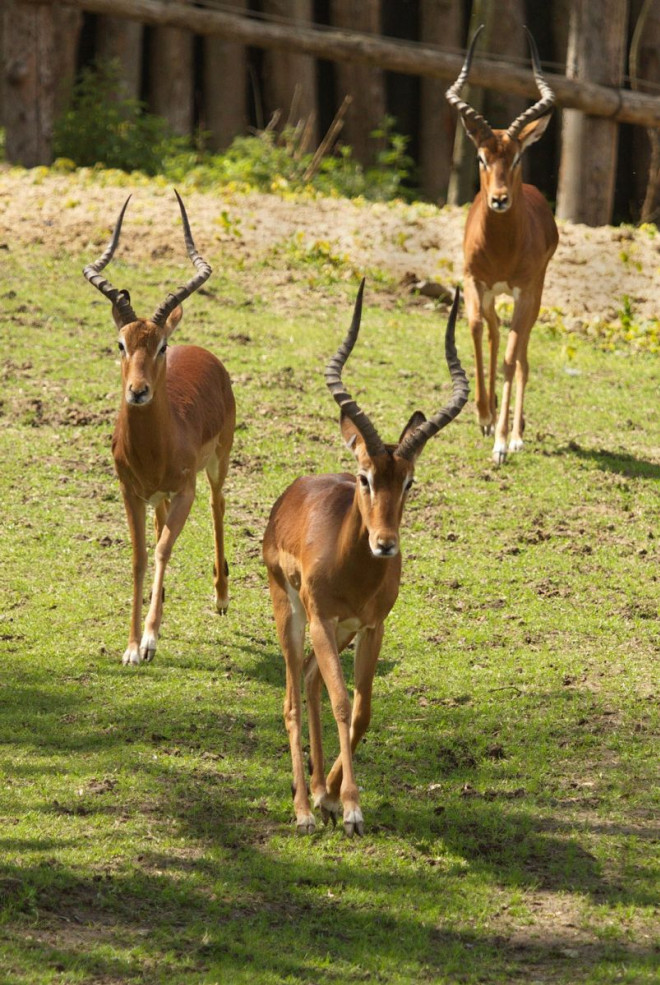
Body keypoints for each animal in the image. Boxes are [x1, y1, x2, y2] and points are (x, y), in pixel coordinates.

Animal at [84, 193, 235, 664]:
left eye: (161, 346)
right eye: (121, 344)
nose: (138, 391)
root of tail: (203, 351)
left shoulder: (185, 489)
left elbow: (165, 548)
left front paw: (149, 640)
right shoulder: (130, 492)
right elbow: (139, 556)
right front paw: (133, 645)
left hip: (218, 464)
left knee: (218, 505)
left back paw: (221, 597)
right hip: (158, 497)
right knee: (160, 522)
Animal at [262, 280, 470, 836]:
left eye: (410, 482)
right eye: (365, 477)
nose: (385, 543)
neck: (350, 566)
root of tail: (287, 498)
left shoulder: (372, 626)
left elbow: (363, 708)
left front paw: (338, 796)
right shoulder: (321, 618)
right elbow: (340, 701)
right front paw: (351, 807)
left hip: (339, 632)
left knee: (310, 678)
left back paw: (318, 793)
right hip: (293, 614)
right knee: (292, 697)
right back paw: (302, 810)